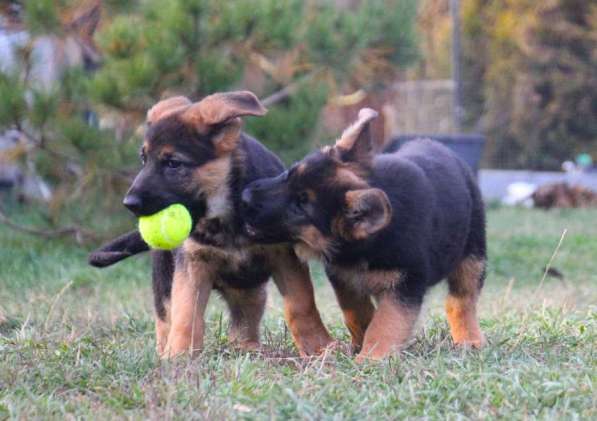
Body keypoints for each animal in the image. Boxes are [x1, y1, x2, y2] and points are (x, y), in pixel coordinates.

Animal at [89, 92, 330, 358]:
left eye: (173, 163)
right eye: (144, 159)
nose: (129, 203)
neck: (227, 215)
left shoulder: (285, 257)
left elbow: (301, 304)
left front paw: (319, 347)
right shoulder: (192, 265)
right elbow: (186, 314)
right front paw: (179, 356)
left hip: (251, 288)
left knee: (242, 322)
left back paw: (249, 347)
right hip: (165, 275)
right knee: (165, 315)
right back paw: (165, 351)